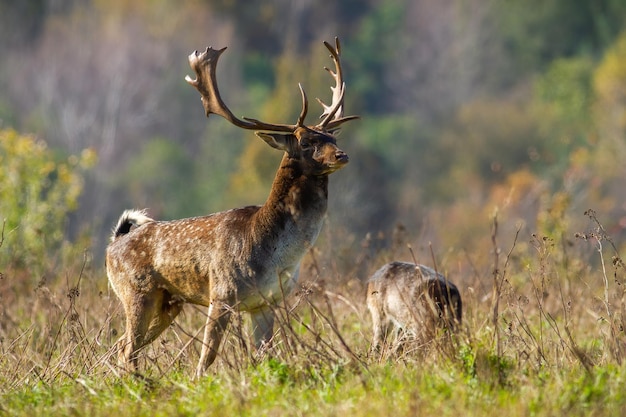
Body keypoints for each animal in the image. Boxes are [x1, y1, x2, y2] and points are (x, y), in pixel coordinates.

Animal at [106, 38, 356, 376]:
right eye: (305, 142)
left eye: (331, 137)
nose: (341, 155)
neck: (275, 255)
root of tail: (114, 242)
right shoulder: (222, 292)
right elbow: (207, 357)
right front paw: (200, 382)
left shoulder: (267, 301)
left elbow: (265, 354)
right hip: (136, 291)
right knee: (126, 349)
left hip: (169, 302)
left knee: (119, 346)